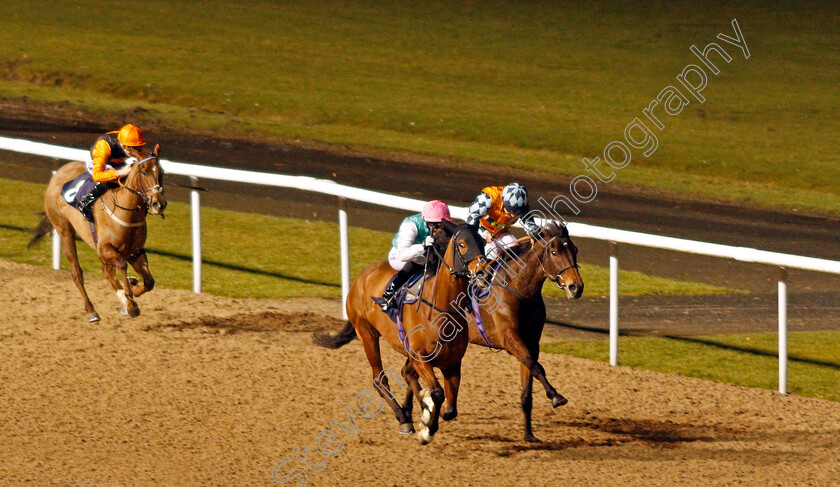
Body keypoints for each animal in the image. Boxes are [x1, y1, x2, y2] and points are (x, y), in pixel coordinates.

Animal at [28, 144, 166, 324]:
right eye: (144, 172)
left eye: (161, 172)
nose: (159, 204)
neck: (125, 210)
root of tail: (58, 173)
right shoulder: (105, 249)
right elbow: (121, 264)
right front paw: (129, 302)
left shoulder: (136, 251)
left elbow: (149, 282)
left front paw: (130, 292)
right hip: (64, 230)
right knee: (77, 272)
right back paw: (91, 310)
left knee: (106, 270)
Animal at [316, 223, 486, 444]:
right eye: (463, 244)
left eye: (482, 242)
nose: (483, 271)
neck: (441, 309)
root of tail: (361, 277)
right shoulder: (421, 358)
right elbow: (438, 393)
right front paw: (427, 428)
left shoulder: (452, 363)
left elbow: (450, 409)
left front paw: (428, 414)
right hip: (367, 334)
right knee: (380, 380)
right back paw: (403, 418)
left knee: (405, 374)